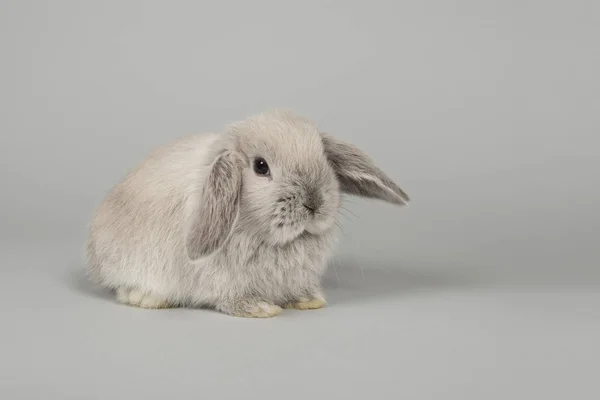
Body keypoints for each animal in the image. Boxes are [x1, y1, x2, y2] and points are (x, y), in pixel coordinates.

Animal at [86, 109, 410, 318]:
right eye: (260, 167)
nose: (314, 203)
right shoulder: (221, 279)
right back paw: (146, 298)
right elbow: (230, 298)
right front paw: (261, 309)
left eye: (323, 159)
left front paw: (309, 301)